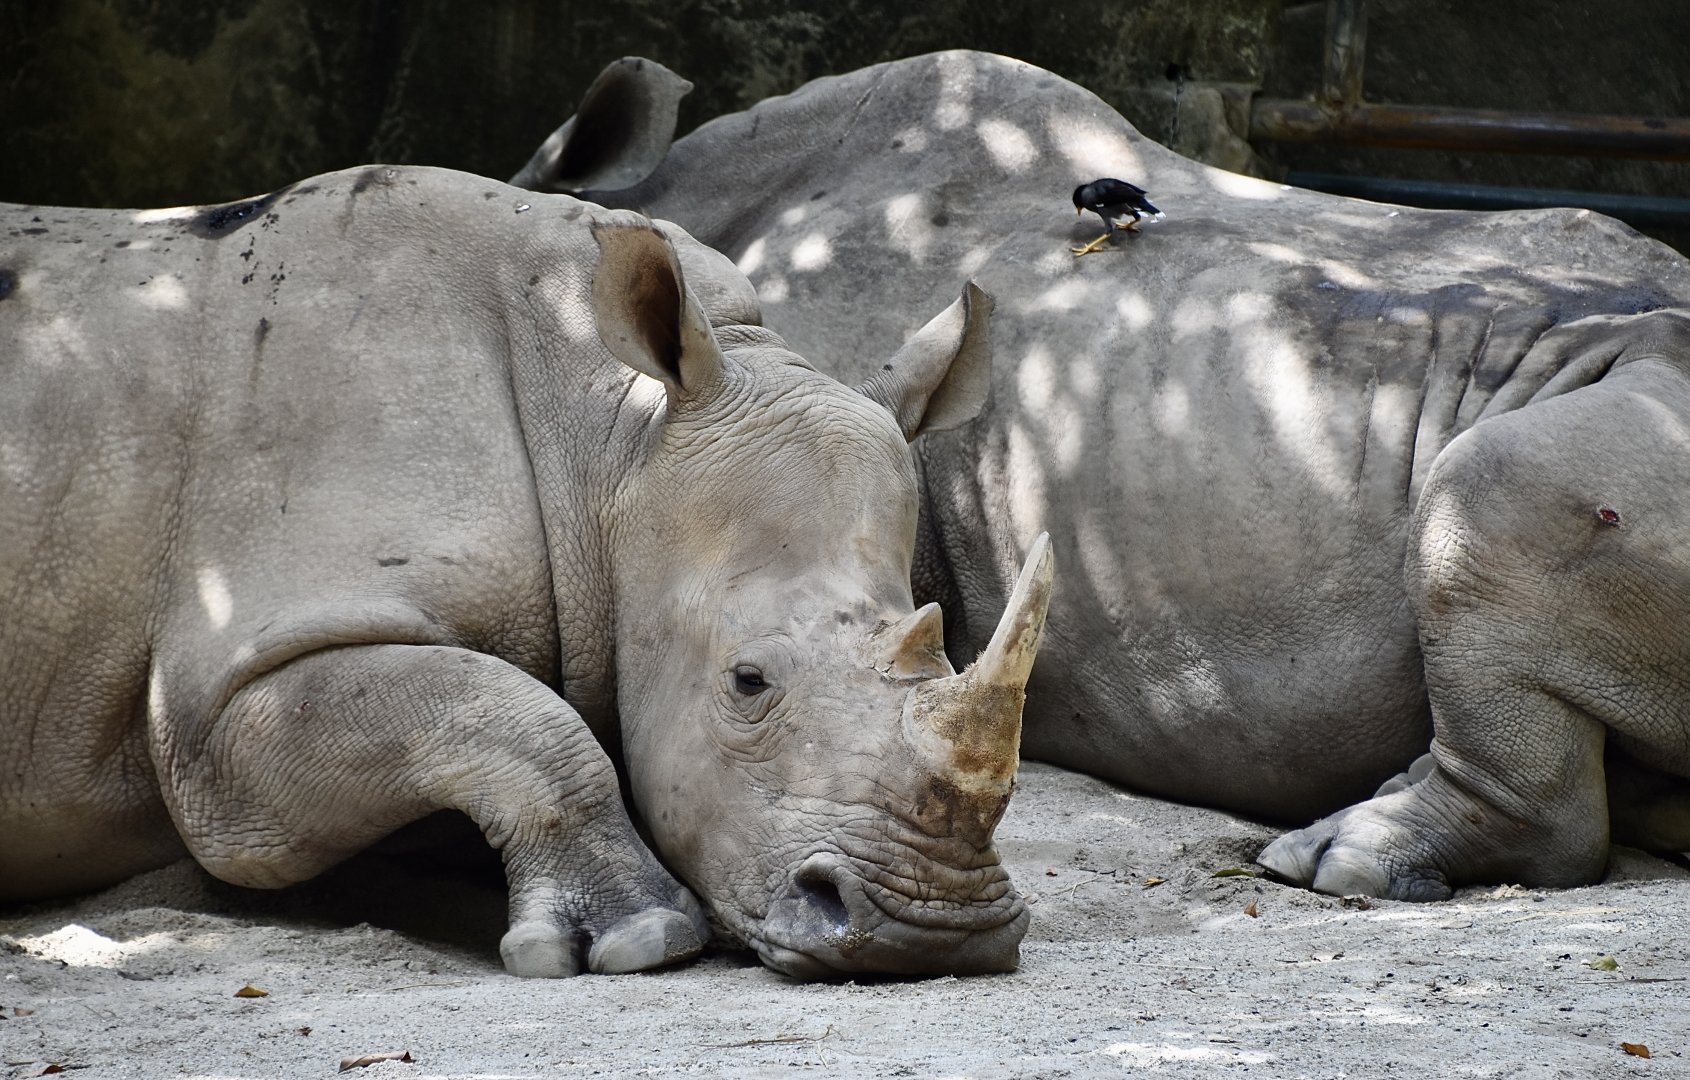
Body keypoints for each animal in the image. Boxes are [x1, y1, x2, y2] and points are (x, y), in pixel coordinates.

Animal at [0, 163, 1059, 979]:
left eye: (945, 653)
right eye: (748, 682)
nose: (937, 928)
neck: (614, 440)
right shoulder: (222, 701)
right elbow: (504, 712)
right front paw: (643, 937)